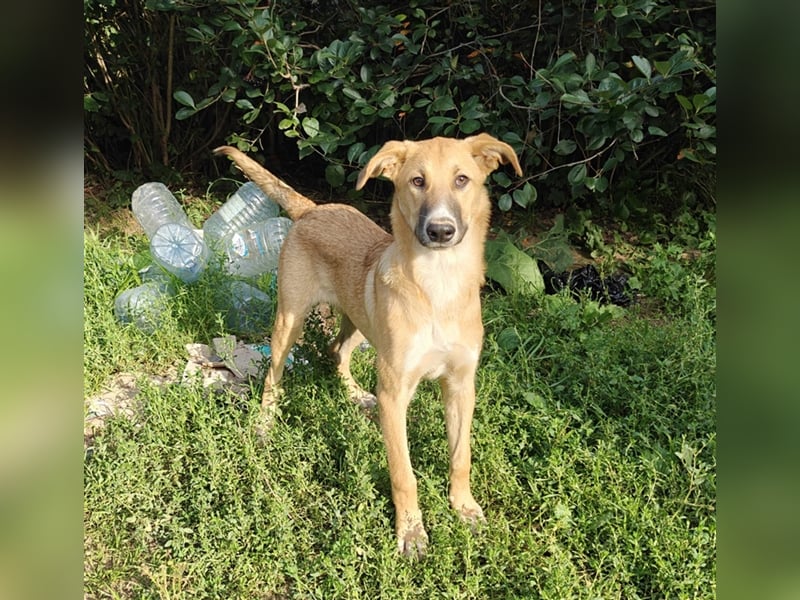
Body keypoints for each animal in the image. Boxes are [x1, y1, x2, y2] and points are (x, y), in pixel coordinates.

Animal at [216, 134, 520, 556]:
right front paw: (411, 532)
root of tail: (313, 208)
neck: (439, 286)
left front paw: (464, 508)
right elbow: (403, 473)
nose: (440, 230)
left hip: (360, 314)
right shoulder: (395, 392)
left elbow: (461, 456)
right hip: (290, 319)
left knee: (336, 352)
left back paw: (355, 395)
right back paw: (264, 424)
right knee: (274, 376)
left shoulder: (461, 386)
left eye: (462, 180)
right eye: (417, 181)